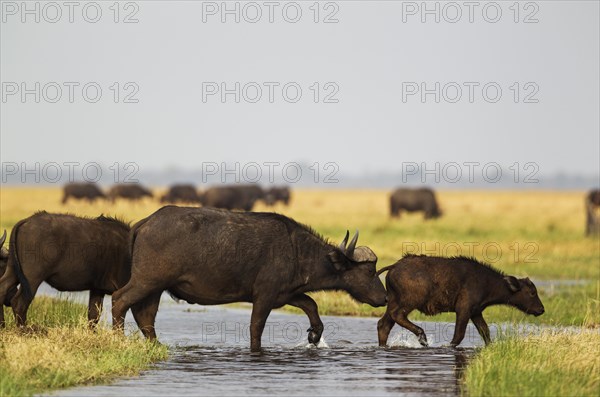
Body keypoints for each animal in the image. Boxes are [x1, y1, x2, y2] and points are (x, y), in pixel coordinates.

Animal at [0, 212, 132, 326]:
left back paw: (3, 325)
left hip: (13, 271)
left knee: (3, 289)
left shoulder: (97, 289)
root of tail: (26, 221)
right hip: (32, 279)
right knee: (19, 303)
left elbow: (93, 316)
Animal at [110, 206, 386, 352]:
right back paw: (118, 338)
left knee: (145, 315)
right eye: (370, 272)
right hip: (146, 281)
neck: (296, 250)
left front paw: (314, 335)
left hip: (155, 287)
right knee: (119, 300)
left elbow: (311, 305)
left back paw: (156, 345)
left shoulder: (286, 294)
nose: (383, 298)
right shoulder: (264, 297)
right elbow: (257, 327)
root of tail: (146, 222)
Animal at [378, 255, 548, 344]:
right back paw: (422, 337)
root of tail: (394, 266)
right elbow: (458, 336)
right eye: (532, 292)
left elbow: (485, 332)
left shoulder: (476, 312)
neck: (487, 282)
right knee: (397, 316)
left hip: (393, 302)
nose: (541, 309)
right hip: (409, 302)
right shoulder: (464, 310)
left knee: (384, 324)